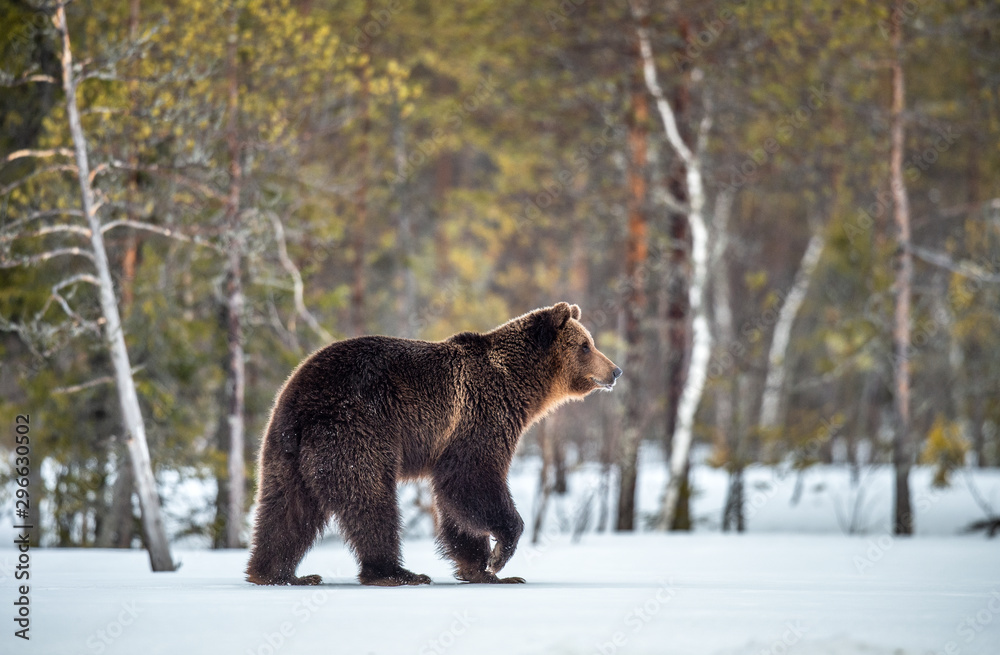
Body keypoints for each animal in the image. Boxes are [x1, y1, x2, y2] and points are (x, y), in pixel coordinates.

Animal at [245, 302, 621, 586]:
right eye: (586, 345)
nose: (615, 370)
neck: (521, 387)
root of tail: (300, 397)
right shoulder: (482, 416)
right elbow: (472, 481)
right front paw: (500, 557)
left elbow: (455, 503)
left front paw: (482, 569)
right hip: (356, 428)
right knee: (370, 499)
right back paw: (396, 573)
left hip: (284, 448)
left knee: (286, 507)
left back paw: (278, 574)